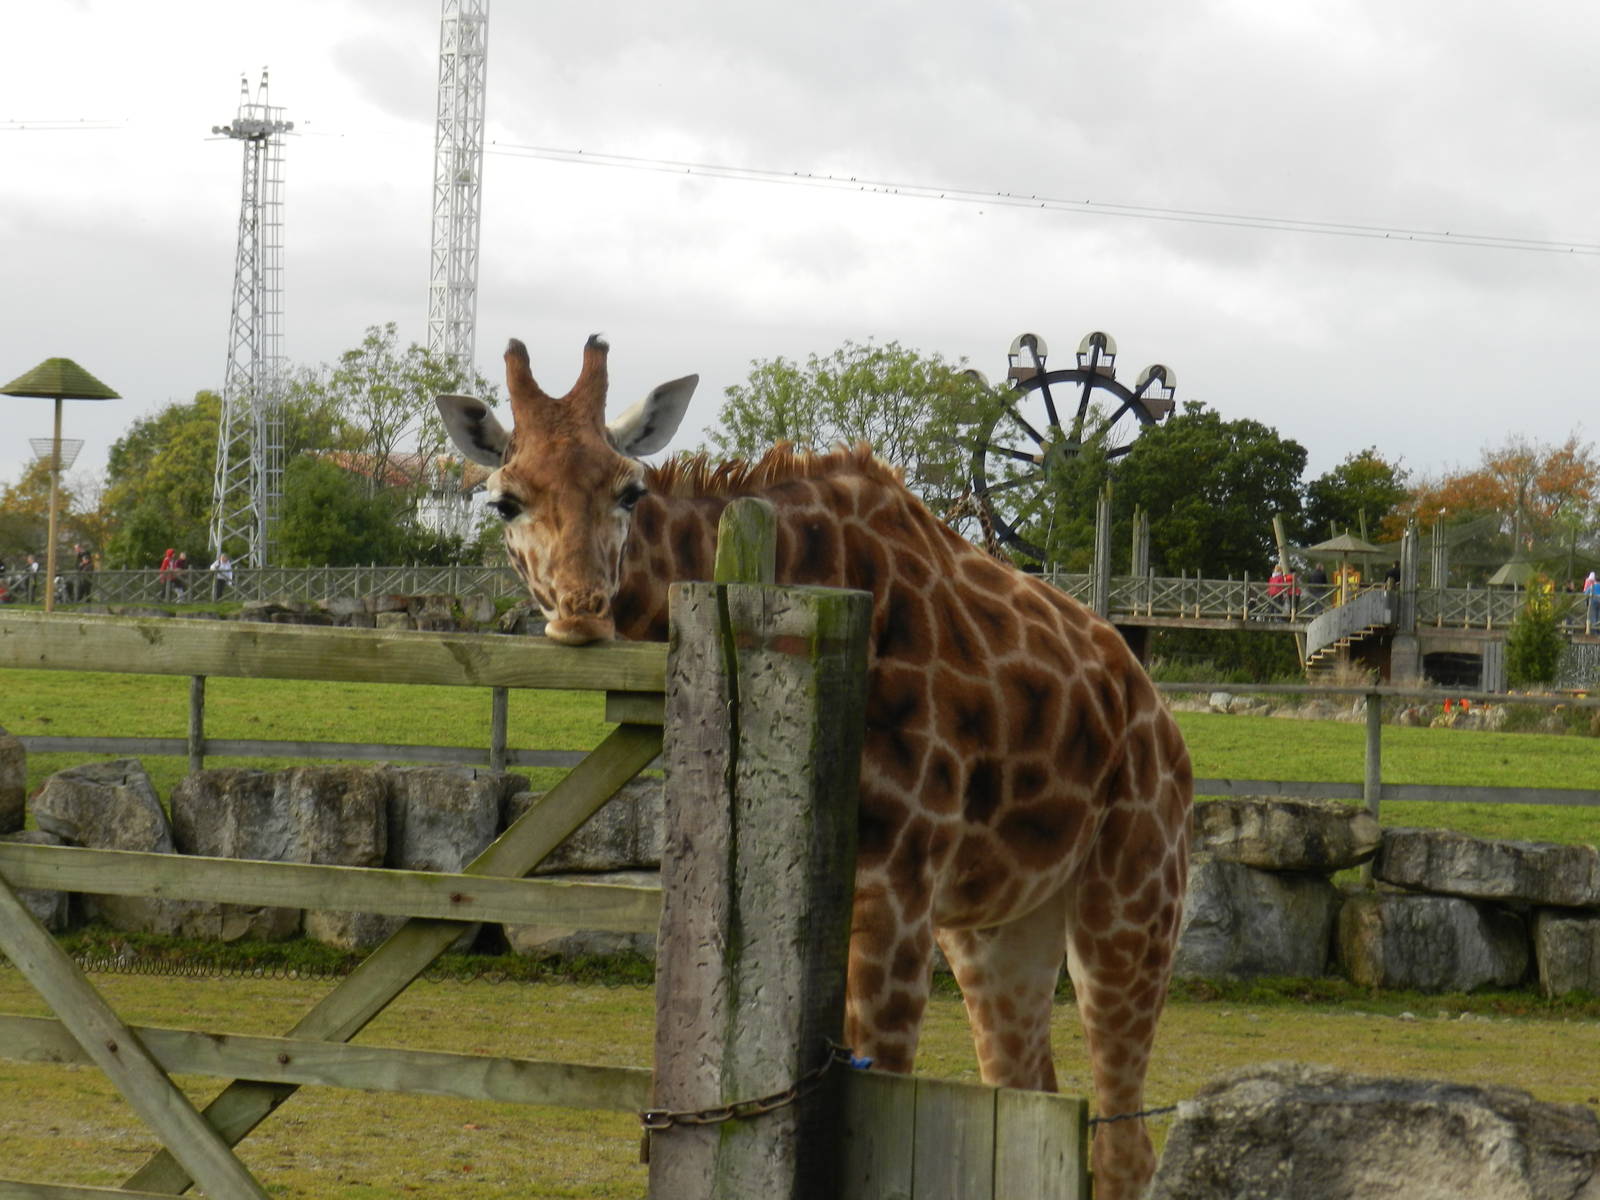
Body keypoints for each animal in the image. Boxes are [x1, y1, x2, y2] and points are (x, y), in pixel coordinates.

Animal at [438, 336, 1192, 1198]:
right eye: (505, 502)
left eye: (629, 490)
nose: (582, 612)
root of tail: (1159, 717)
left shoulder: (899, 880)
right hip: (1000, 923)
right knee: (1031, 1093)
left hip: (1133, 898)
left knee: (1125, 1141)